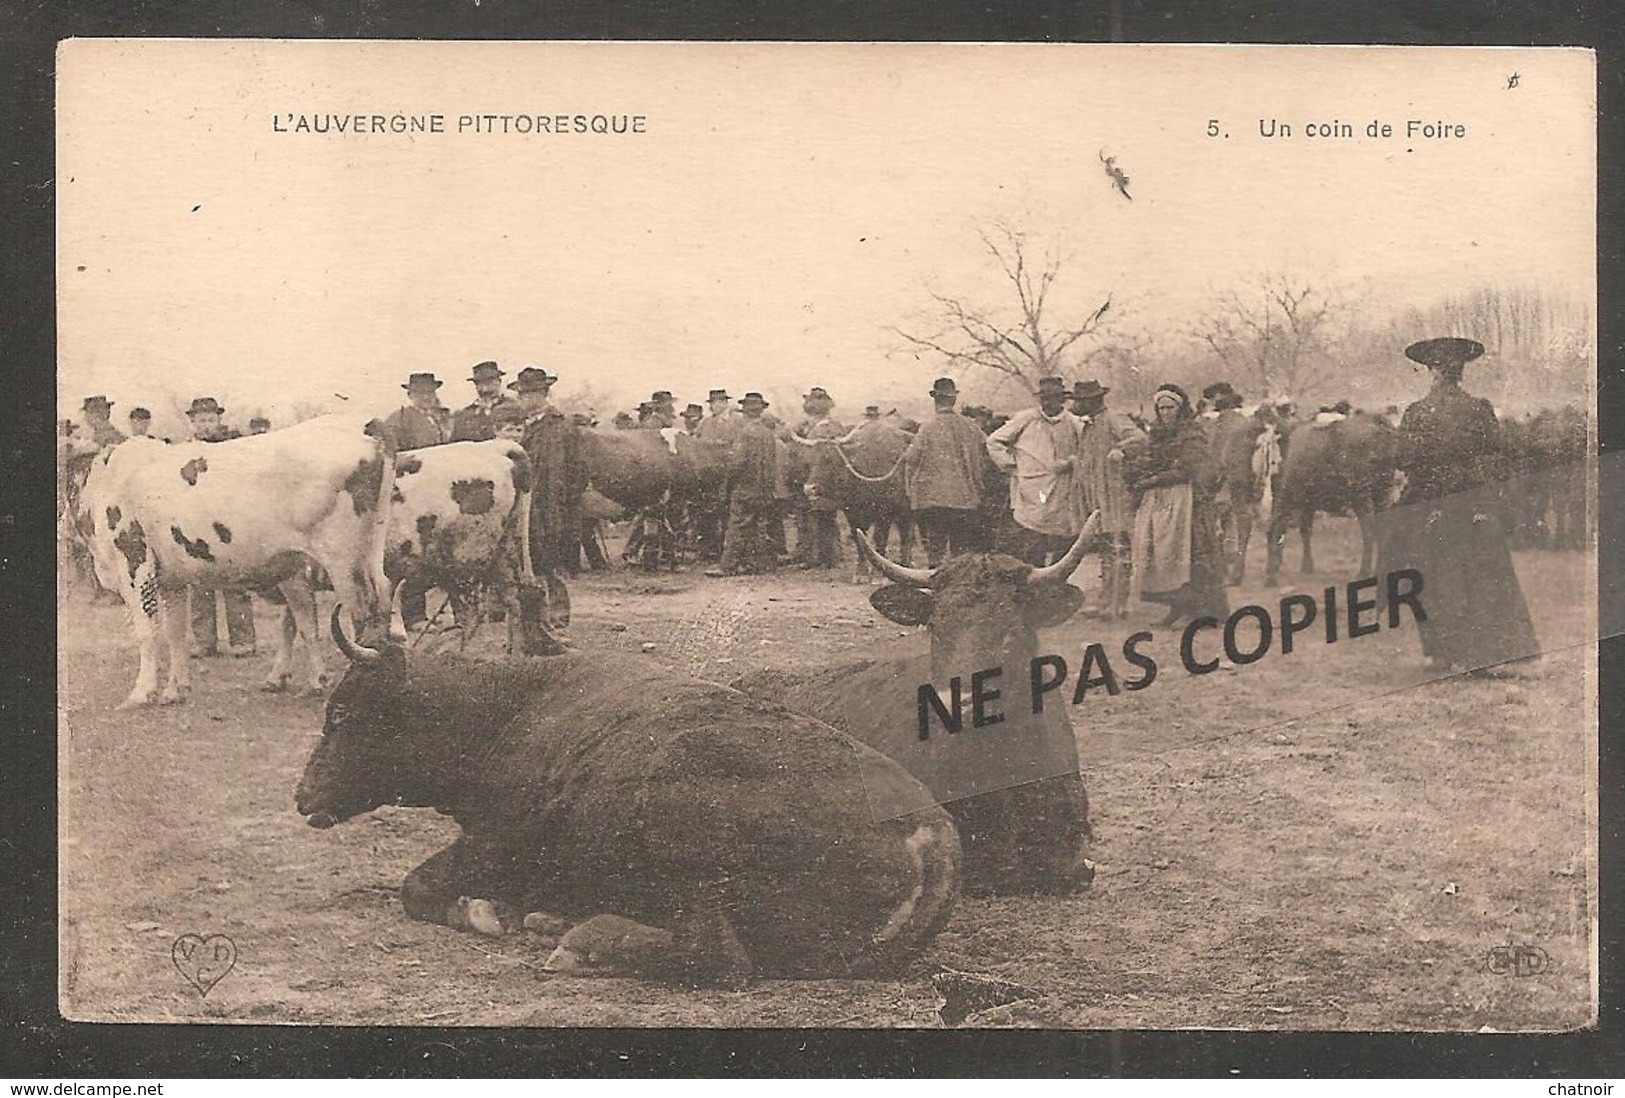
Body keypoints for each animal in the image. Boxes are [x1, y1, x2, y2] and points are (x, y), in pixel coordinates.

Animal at [81, 415, 396, 708]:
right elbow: (175, 633)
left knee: (361, 614)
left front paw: (142, 693)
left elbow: (147, 632)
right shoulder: (171, 577)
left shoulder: (133, 561)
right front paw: (175, 691)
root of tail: (361, 426)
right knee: (378, 601)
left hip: (343, 560)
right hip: (362, 556)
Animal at [300, 613, 962, 981]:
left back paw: (577, 941)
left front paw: (489, 913)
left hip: (684, 854)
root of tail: (929, 835)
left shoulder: (494, 846)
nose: (304, 796)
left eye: (342, 713)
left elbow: (418, 887)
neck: (505, 710)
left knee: (719, 958)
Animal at [1261, 409, 1404, 584]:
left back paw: (1363, 572)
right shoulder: (1308, 504)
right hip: (1381, 494)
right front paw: (1307, 566)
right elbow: (1305, 531)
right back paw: (1378, 569)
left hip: (1361, 497)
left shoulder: (1293, 499)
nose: (1268, 576)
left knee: (1369, 531)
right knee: (1382, 529)